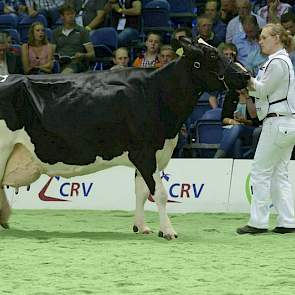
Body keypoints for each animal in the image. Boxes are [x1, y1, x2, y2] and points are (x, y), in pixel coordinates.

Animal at [0, 37, 250, 240]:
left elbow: (141, 192)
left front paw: (141, 227)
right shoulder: (146, 152)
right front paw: (168, 230)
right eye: (212, 55)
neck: (156, 92)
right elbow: (159, 194)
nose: (245, 74)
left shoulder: (147, 156)